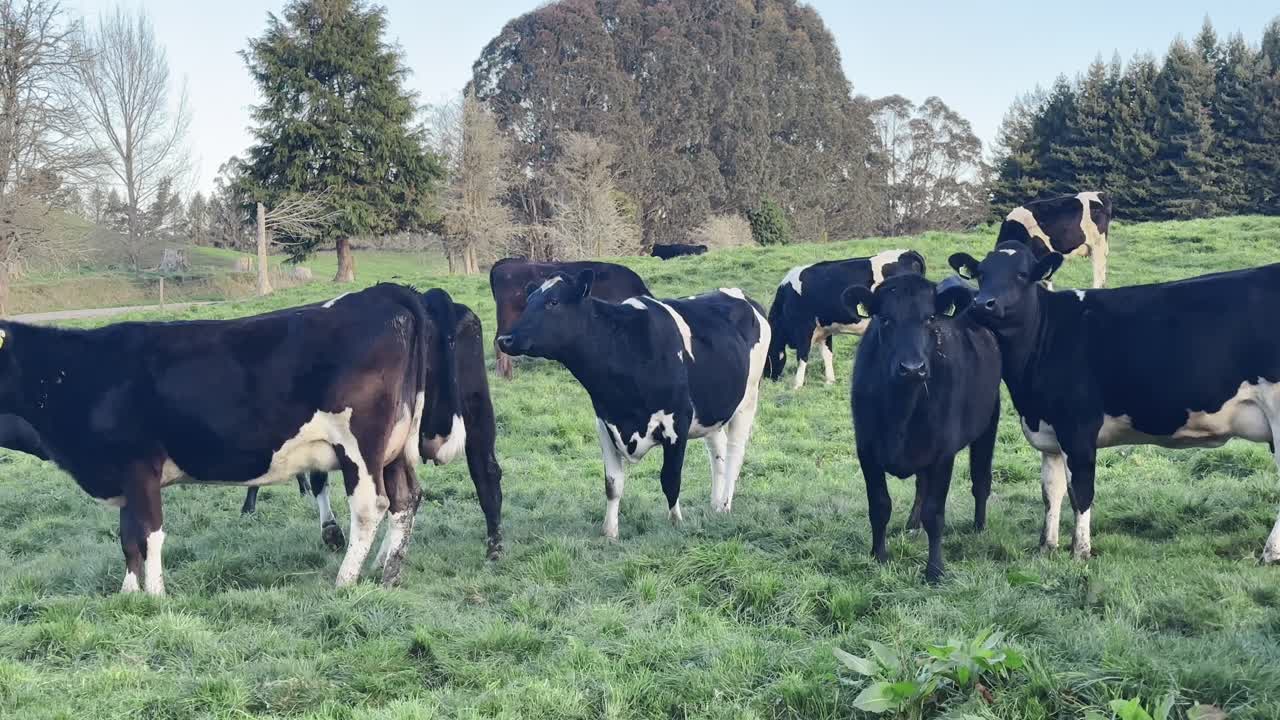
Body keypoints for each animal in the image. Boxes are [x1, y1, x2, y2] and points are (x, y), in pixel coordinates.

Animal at [0, 284, 468, 595]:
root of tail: (387, 293)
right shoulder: (123, 474)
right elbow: (128, 537)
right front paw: (128, 595)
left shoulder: (139, 465)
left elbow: (149, 534)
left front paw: (154, 597)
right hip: (395, 448)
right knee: (406, 500)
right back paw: (388, 573)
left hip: (361, 445)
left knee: (372, 507)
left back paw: (346, 580)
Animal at [496, 271, 769, 539]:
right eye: (528, 302)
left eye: (553, 302)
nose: (505, 339)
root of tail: (740, 295)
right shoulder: (605, 423)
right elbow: (612, 483)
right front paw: (610, 531)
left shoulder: (677, 421)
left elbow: (670, 478)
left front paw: (676, 523)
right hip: (711, 410)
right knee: (718, 452)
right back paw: (714, 504)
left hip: (748, 399)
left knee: (734, 453)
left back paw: (724, 506)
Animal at [765, 249, 925, 389]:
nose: (767, 378)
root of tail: (907, 252)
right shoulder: (824, 330)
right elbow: (827, 354)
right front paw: (830, 380)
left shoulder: (804, 329)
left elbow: (802, 356)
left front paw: (797, 385)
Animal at [845, 273, 1000, 582]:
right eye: (885, 319)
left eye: (930, 318)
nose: (912, 368)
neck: (901, 410)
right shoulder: (866, 450)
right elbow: (879, 505)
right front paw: (878, 556)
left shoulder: (943, 454)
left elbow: (935, 513)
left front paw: (935, 570)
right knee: (921, 484)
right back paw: (912, 524)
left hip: (989, 422)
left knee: (981, 480)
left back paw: (978, 527)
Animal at [950, 243, 1280, 563]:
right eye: (981, 274)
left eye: (1021, 274)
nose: (983, 303)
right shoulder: (1050, 433)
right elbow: (1051, 492)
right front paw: (1047, 547)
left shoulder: (1078, 427)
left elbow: (1081, 492)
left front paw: (1080, 552)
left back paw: (1270, 553)